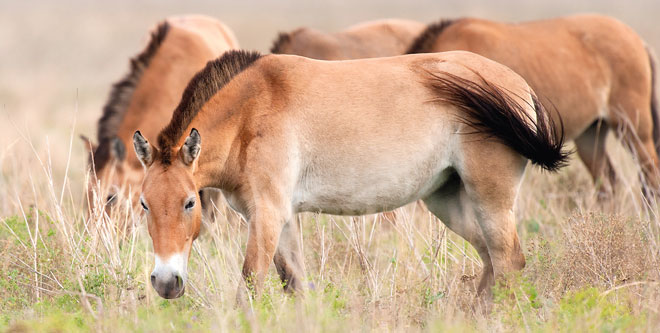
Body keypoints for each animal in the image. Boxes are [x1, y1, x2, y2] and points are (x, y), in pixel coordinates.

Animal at [130, 48, 568, 298]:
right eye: (145, 204)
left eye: (189, 203)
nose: (166, 283)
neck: (252, 109)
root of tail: (519, 86)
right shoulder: (281, 219)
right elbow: (295, 286)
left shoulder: (267, 215)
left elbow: (250, 286)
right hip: (448, 201)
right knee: (493, 262)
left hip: (490, 199)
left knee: (508, 262)